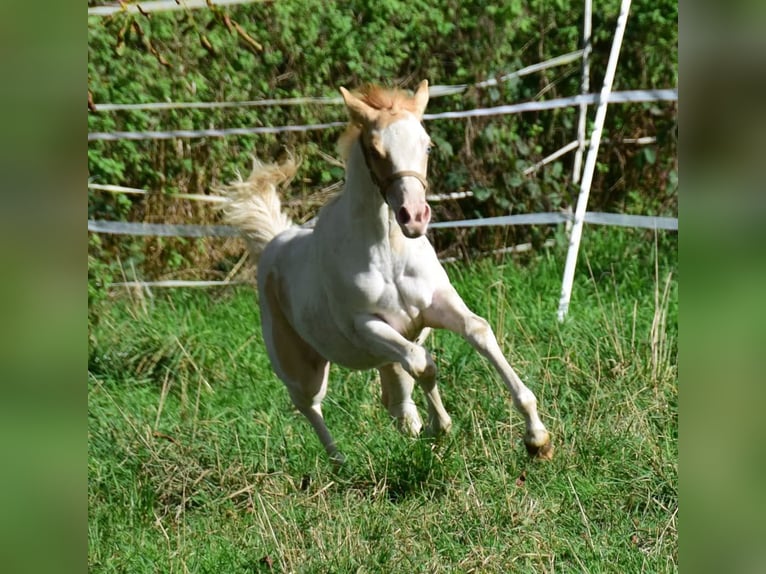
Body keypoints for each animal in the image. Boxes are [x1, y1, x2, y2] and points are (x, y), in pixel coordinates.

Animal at [220, 81, 552, 464]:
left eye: (427, 145)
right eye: (376, 150)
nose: (414, 216)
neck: (388, 250)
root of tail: (275, 242)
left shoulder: (434, 306)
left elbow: (478, 331)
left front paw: (537, 438)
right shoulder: (366, 326)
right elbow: (422, 363)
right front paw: (440, 427)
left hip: (384, 357)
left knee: (396, 400)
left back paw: (409, 429)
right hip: (302, 368)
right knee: (309, 406)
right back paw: (341, 463)